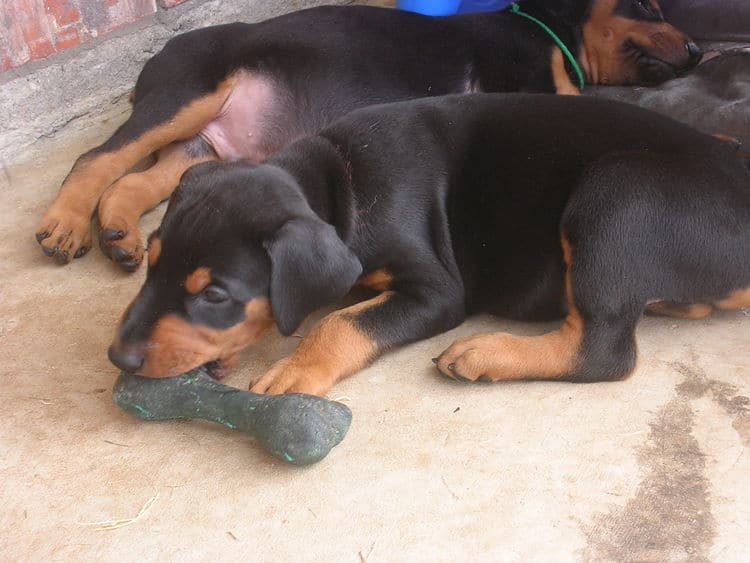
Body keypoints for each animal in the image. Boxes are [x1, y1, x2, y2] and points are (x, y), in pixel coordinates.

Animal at [35, 0, 704, 274]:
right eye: (648, 6)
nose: (700, 50)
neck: (548, 26)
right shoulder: (526, 83)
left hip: (204, 141)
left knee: (136, 179)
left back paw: (119, 234)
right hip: (190, 91)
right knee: (96, 159)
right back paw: (65, 225)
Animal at [107, 93, 750, 396]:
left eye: (214, 295)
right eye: (151, 268)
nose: (119, 359)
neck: (340, 181)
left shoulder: (437, 292)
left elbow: (339, 321)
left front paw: (296, 370)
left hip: (617, 197)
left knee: (605, 351)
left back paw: (485, 353)